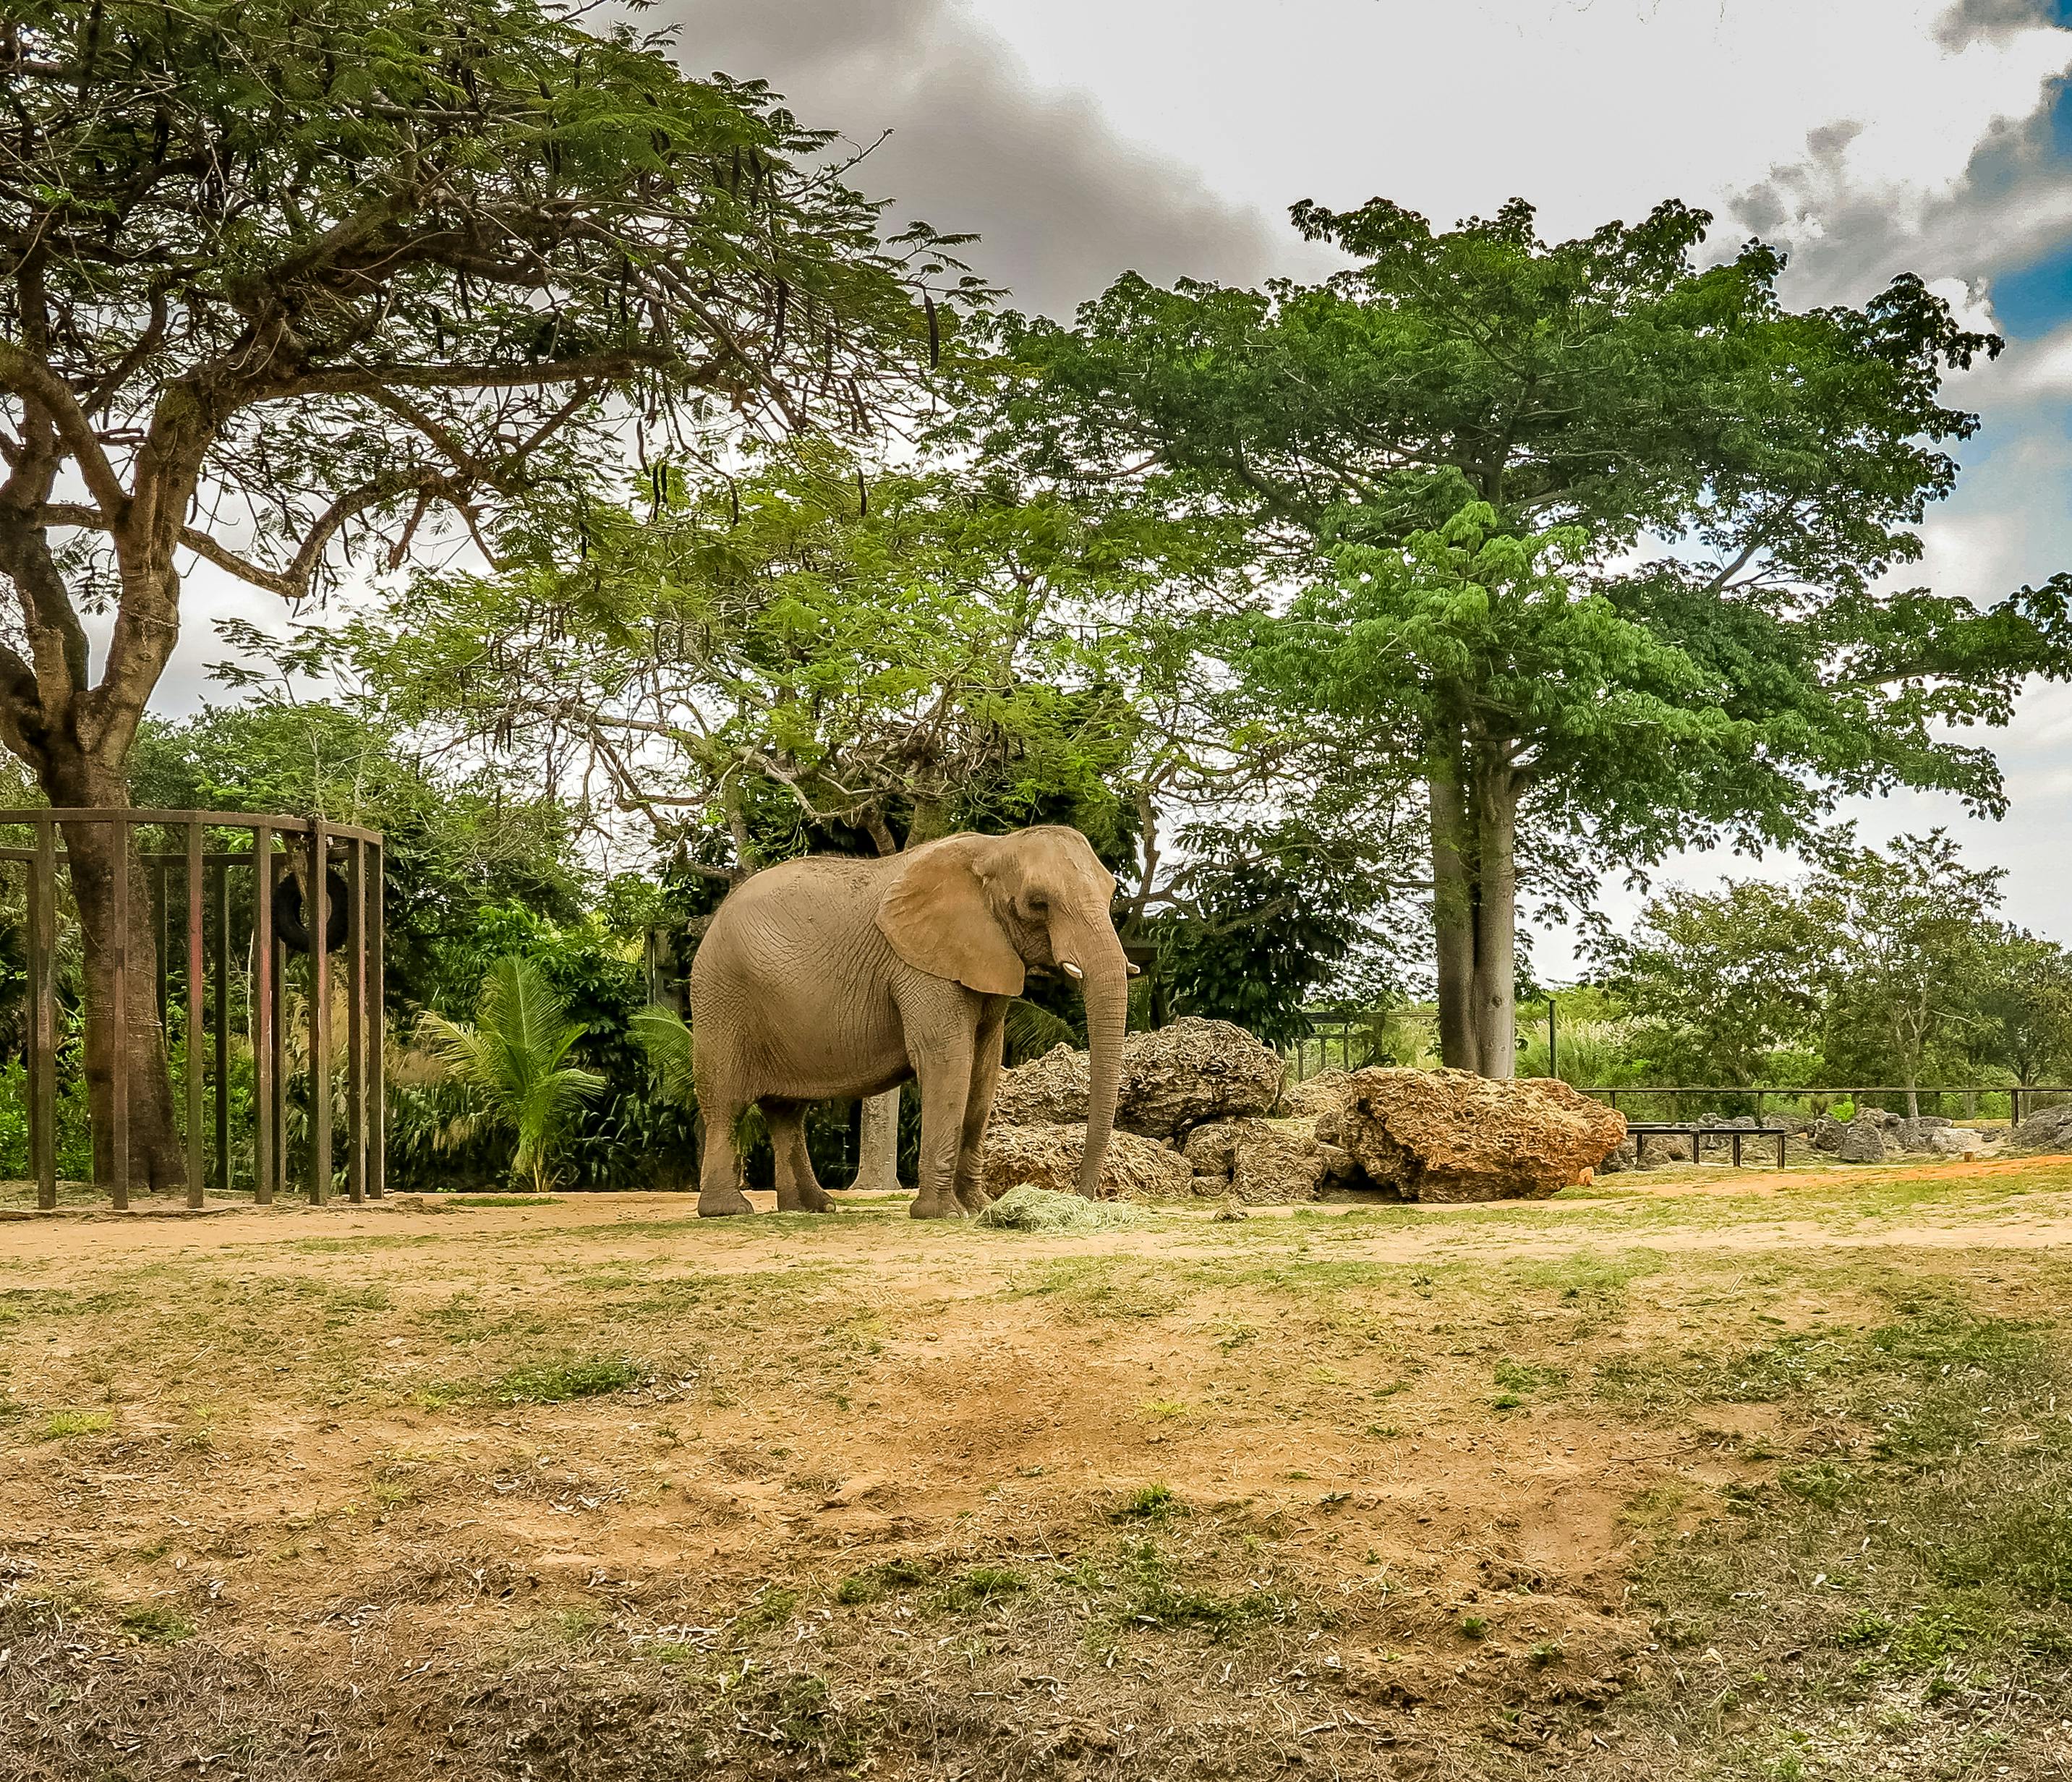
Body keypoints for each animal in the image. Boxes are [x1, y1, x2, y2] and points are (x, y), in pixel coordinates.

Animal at [688, 826, 1130, 1219]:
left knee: (787, 1112)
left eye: (1111, 894)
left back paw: (814, 1207)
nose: (1081, 1196)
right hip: (720, 996)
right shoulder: (919, 965)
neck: (993, 848)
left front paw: (978, 1209)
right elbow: (947, 1059)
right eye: (1038, 904)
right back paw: (728, 1210)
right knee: (726, 1104)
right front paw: (943, 1214)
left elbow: (984, 1068)